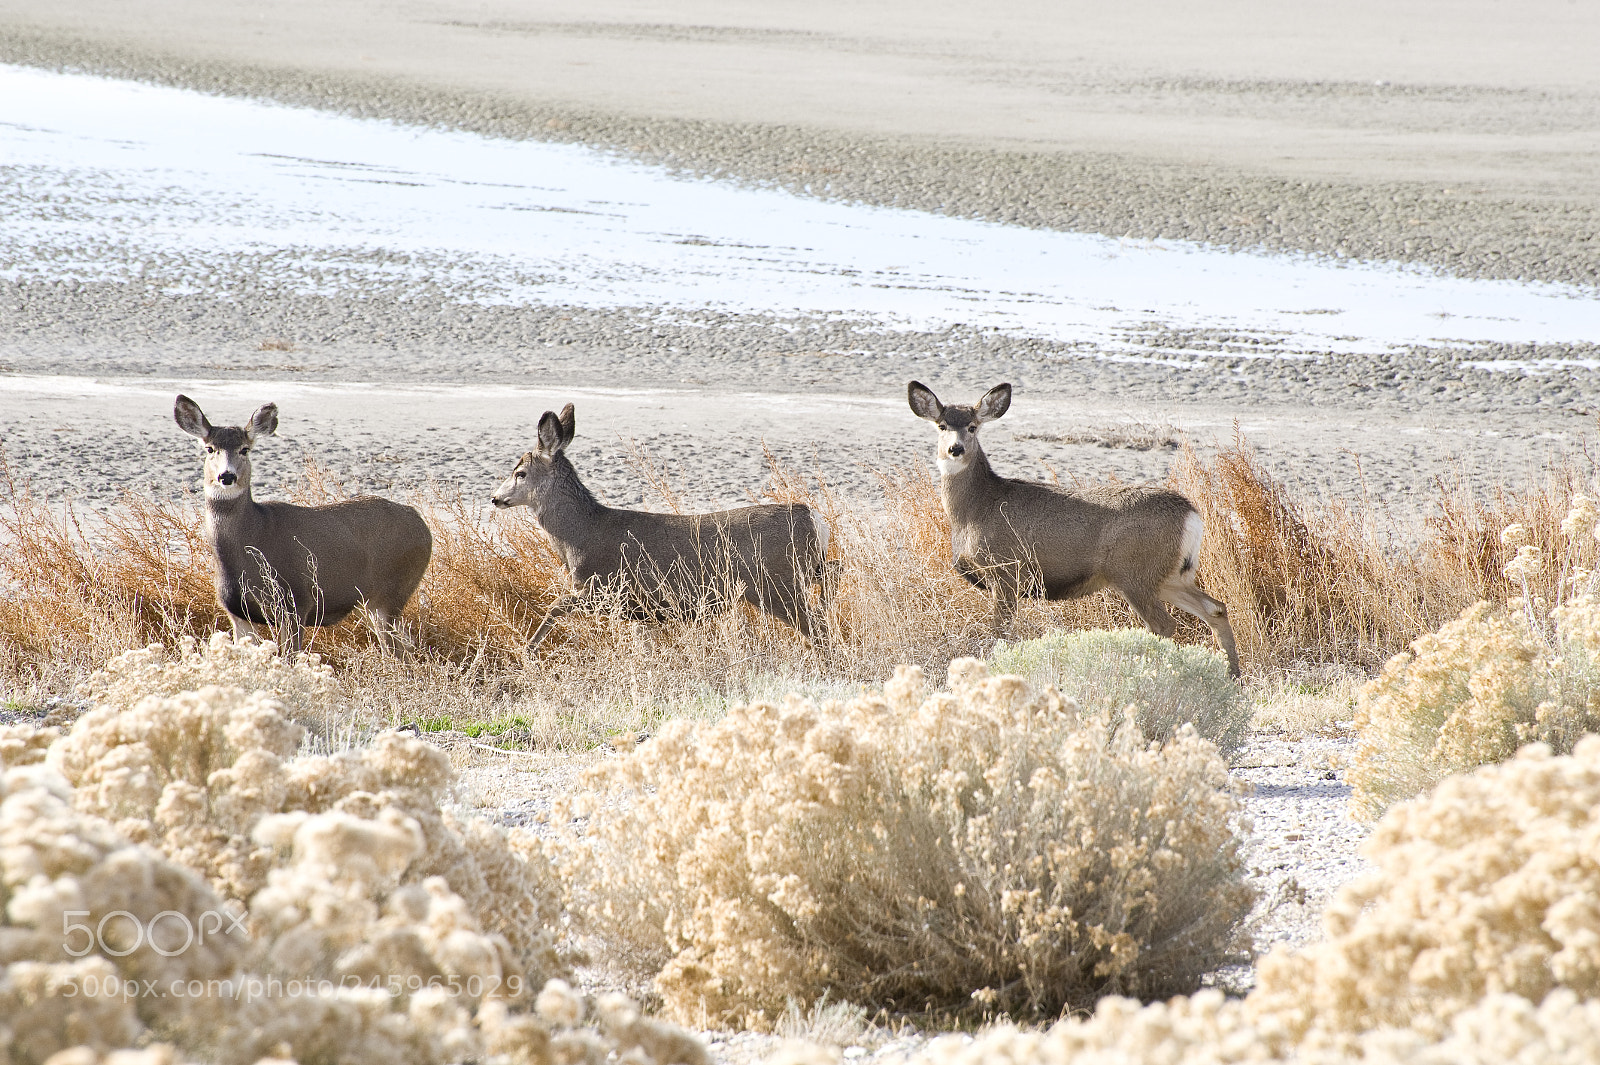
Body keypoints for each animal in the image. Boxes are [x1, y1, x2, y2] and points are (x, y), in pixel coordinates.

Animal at [174, 395, 433, 657]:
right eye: (209, 448)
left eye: (245, 449)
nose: (227, 476)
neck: (253, 535)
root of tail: (420, 521)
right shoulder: (237, 612)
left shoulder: (296, 602)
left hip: (392, 593)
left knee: (399, 653)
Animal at [490, 403, 832, 652]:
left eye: (520, 473)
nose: (495, 498)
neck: (579, 535)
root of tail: (811, 516)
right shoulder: (638, 608)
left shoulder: (603, 586)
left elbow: (555, 606)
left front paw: (528, 650)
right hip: (801, 572)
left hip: (778, 582)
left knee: (818, 626)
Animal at [907, 381, 1241, 678]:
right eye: (941, 425)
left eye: (973, 426)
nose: (955, 449)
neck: (976, 509)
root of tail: (1191, 515)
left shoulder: (1006, 571)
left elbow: (999, 634)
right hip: (1169, 575)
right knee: (1216, 608)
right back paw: (1233, 678)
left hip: (1133, 572)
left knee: (1164, 624)